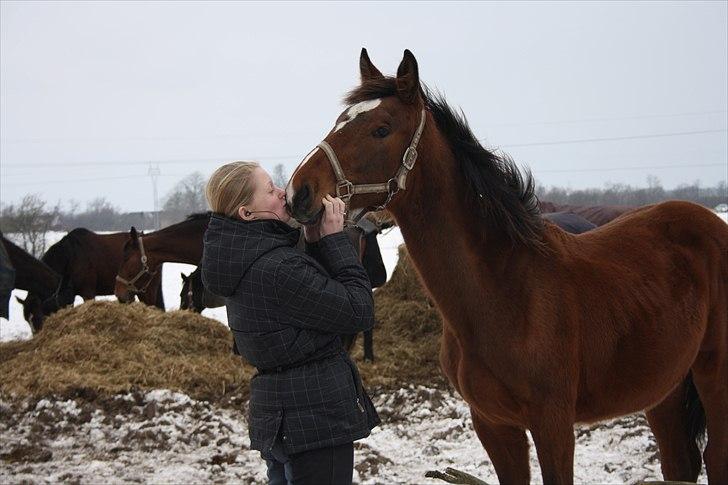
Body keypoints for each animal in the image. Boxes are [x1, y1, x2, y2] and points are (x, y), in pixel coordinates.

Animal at [286, 48, 728, 480]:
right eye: (339, 122)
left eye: (381, 129)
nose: (298, 193)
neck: (505, 291)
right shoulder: (494, 425)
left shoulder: (553, 425)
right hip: (665, 388)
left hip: (713, 376)